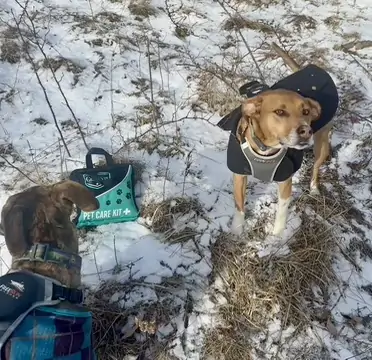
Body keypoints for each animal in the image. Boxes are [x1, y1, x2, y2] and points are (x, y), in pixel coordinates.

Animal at [218, 43, 340, 236]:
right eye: (280, 112)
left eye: (306, 111)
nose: (306, 131)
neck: (265, 148)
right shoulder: (239, 175)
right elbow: (239, 207)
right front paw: (236, 232)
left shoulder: (284, 181)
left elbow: (281, 214)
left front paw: (276, 239)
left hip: (321, 145)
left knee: (315, 167)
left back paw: (314, 188)